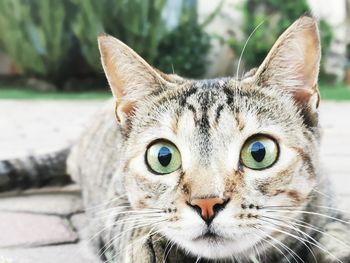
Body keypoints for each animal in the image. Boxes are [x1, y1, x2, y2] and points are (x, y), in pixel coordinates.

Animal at [0, 17, 350, 263]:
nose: (207, 204)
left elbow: (337, 232)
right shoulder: (112, 205)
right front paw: (154, 249)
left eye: (259, 152)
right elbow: (132, 222)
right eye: (163, 157)